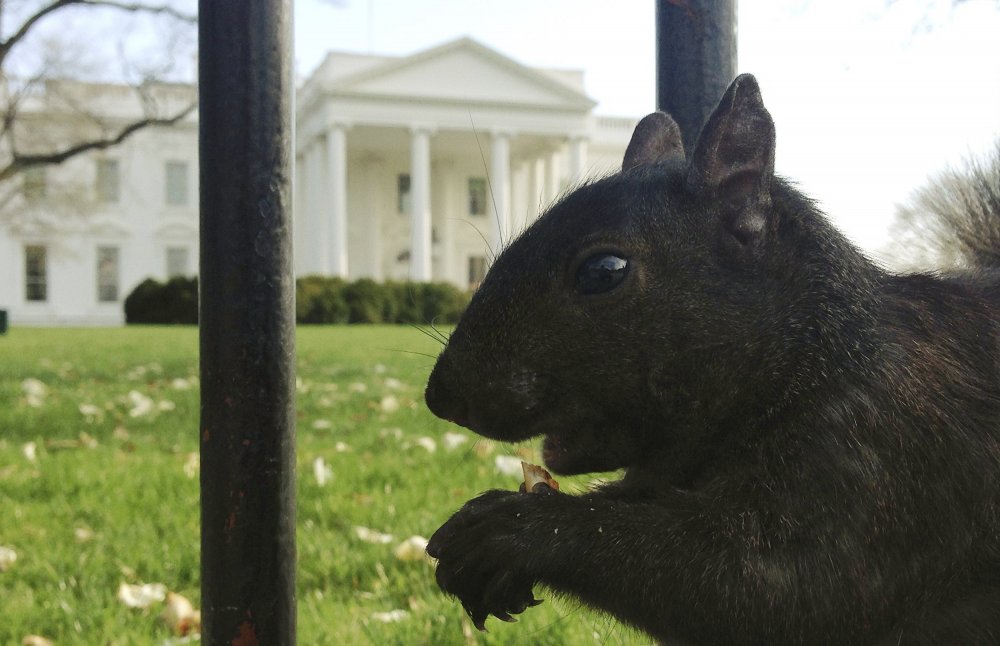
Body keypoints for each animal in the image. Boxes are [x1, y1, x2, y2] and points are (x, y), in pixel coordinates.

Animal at [420, 73, 1000, 644]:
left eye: (604, 271)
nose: (441, 397)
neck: (810, 358)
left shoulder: (878, 458)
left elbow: (767, 588)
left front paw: (511, 530)